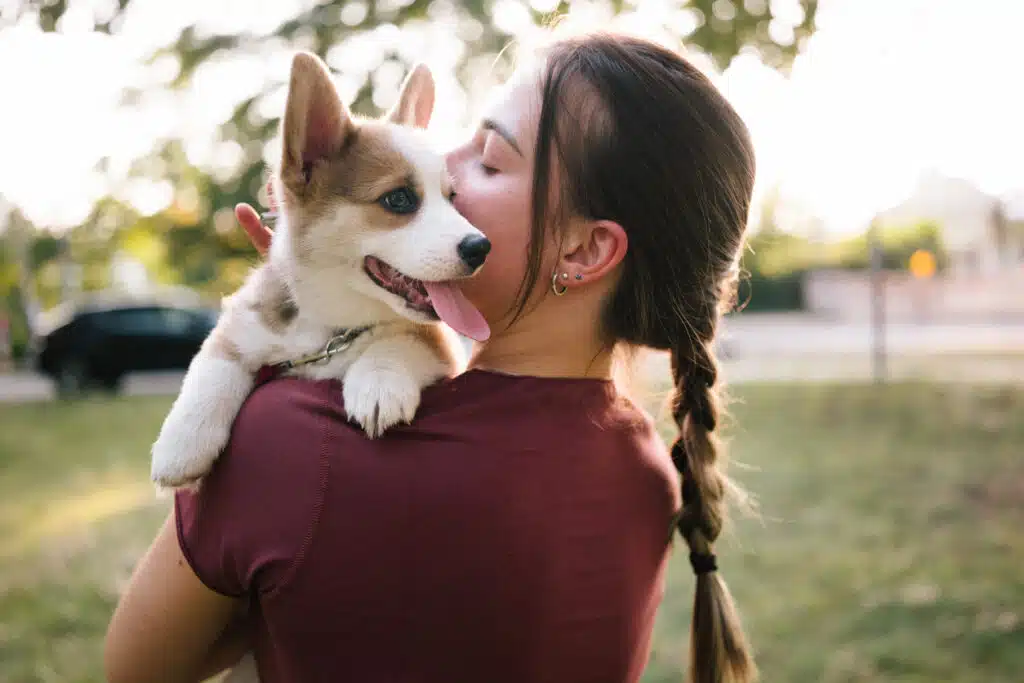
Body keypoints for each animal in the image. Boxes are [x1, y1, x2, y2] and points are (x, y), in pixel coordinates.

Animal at [148, 52, 491, 491]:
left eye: (453, 198)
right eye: (398, 199)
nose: (481, 248)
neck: (331, 327)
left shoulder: (441, 344)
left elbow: (399, 342)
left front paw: (377, 383)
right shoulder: (243, 322)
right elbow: (213, 366)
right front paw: (182, 444)